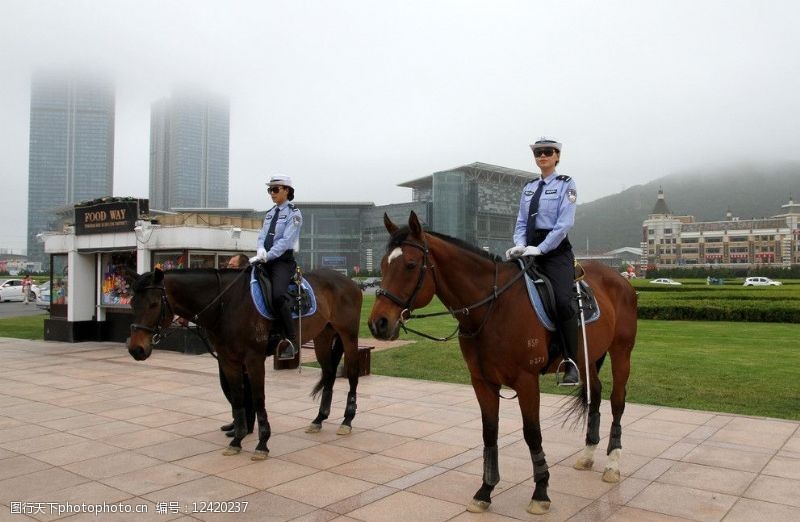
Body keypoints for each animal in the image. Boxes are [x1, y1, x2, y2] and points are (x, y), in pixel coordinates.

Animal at [127, 266, 362, 458]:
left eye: (154, 304)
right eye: (132, 303)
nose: (136, 349)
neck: (227, 303)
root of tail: (349, 282)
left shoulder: (254, 359)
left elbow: (257, 398)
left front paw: (262, 443)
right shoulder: (228, 359)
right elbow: (238, 397)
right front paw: (237, 440)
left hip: (348, 336)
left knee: (352, 375)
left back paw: (347, 420)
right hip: (323, 336)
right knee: (329, 374)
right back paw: (319, 419)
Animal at [368, 211, 636, 512]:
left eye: (411, 265)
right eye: (382, 264)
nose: (378, 323)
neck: (492, 307)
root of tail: (619, 278)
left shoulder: (527, 381)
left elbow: (532, 433)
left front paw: (540, 491)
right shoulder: (482, 382)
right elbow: (489, 433)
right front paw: (485, 490)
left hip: (621, 351)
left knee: (617, 400)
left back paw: (613, 463)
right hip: (587, 357)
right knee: (596, 394)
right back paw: (589, 454)